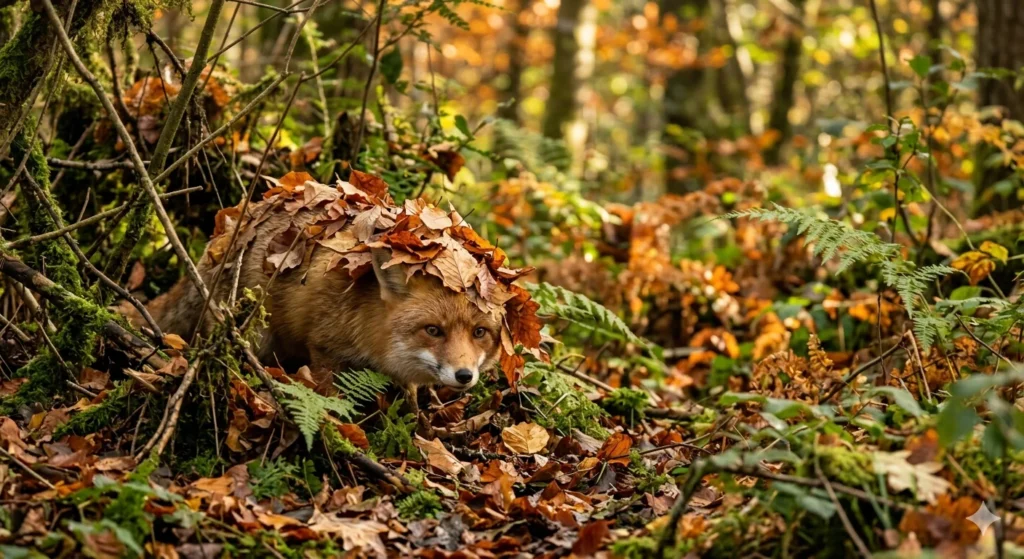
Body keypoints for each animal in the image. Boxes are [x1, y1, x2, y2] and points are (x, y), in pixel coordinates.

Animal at [132, 200, 501, 405]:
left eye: (479, 333)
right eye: (433, 330)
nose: (464, 375)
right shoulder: (325, 348)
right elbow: (330, 399)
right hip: (254, 335)